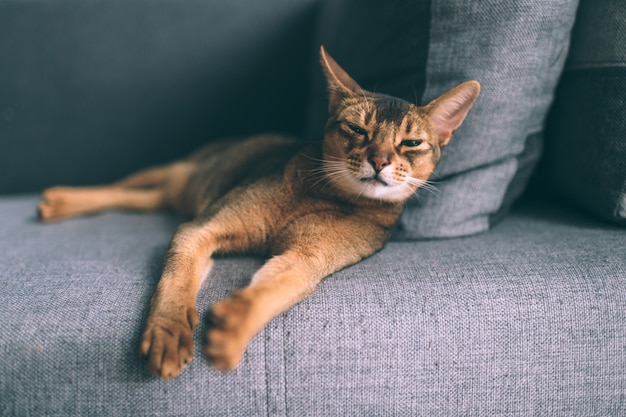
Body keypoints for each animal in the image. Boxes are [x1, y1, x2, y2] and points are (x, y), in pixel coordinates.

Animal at [37, 47, 478, 378]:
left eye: (411, 143)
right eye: (357, 130)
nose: (380, 160)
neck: (327, 196)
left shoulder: (307, 260)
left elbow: (273, 288)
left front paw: (232, 327)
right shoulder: (200, 229)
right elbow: (174, 284)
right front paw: (168, 333)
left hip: (181, 192)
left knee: (146, 199)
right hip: (181, 172)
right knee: (124, 188)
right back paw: (60, 200)